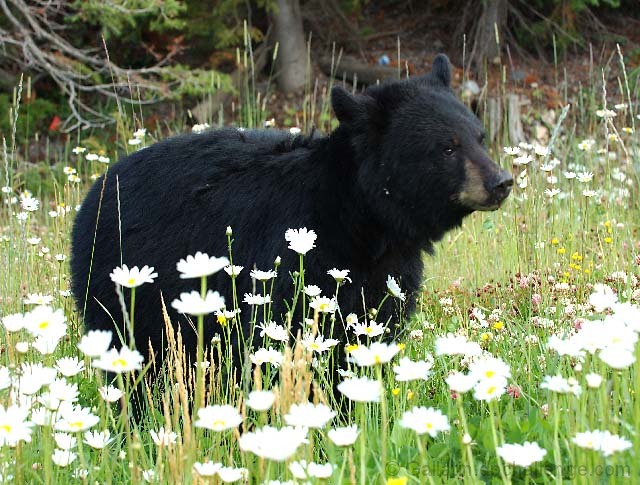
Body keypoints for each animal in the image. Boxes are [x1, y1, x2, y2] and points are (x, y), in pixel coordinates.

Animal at [70, 55, 512, 374]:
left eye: (480, 136)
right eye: (447, 147)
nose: (501, 182)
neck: (362, 223)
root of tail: (97, 188)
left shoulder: (385, 275)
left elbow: (371, 327)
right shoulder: (292, 257)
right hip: (123, 281)